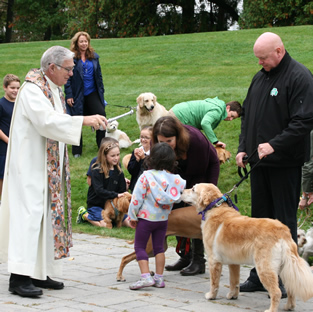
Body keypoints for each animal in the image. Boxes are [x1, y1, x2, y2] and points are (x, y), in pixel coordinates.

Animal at [179, 183, 312, 312]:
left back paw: (271, 309)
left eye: (193, 189)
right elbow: (234, 281)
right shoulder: (233, 262)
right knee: (291, 288)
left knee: (277, 292)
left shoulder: (213, 261)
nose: (181, 191)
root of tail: (283, 231)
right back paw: (289, 306)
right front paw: (232, 295)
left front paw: (211, 296)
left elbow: (214, 283)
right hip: (284, 269)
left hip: (264, 268)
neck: (215, 207)